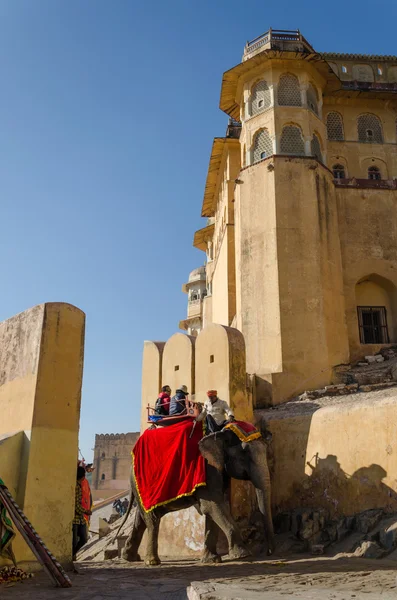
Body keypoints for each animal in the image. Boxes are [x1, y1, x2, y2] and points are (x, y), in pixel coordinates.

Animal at [116, 420, 274, 564]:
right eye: (244, 453)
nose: (269, 552)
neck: (219, 429)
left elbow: (212, 508)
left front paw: (211, 560)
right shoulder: (207, 466)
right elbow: (213, 505)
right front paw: (243, 555)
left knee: (142, 518)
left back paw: (129, 557)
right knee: (153, 518)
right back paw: (152, 561)